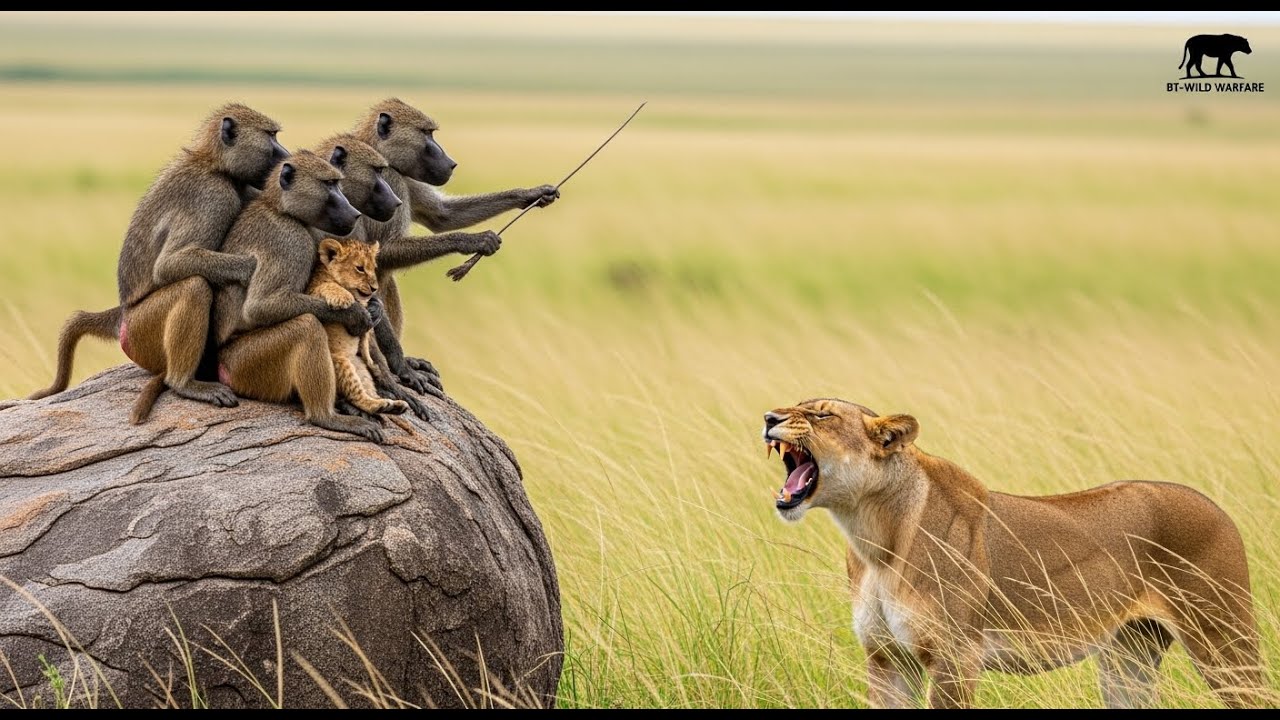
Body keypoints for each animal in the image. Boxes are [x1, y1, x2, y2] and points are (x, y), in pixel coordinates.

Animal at [28, 103, 289, 416]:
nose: (287, 156)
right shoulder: (214, 196)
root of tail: (123, 313)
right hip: (142, 331)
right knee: (194, 286)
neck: (214, 165)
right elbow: (169, 266)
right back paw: (185, 383)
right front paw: (251, 269)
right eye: (271, 136)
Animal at [306, 237, 410, 418]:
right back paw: (381, 405)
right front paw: (343, 298)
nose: (375, 288)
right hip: (340, 363)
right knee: (358, 397)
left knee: (367, 393)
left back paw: (393, 404)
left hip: (362, 372)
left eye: (373, 268)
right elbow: (326, 286)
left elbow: (366, 335)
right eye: (360, 268)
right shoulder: (312, 291)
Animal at [350, 98, 561, 394]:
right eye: (427, 134)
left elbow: (443, 216)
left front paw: (533, 194)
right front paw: (474, 240)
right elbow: (383, 250)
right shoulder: (391, 180)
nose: (450, 163)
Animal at [761, 398, 1264, 709]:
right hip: (1129, 655)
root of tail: (1218, 508)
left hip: (1224, 643)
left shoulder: (955, 657)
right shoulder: (886, 658)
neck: (872, 538)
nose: (767, 418)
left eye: (820, 415)